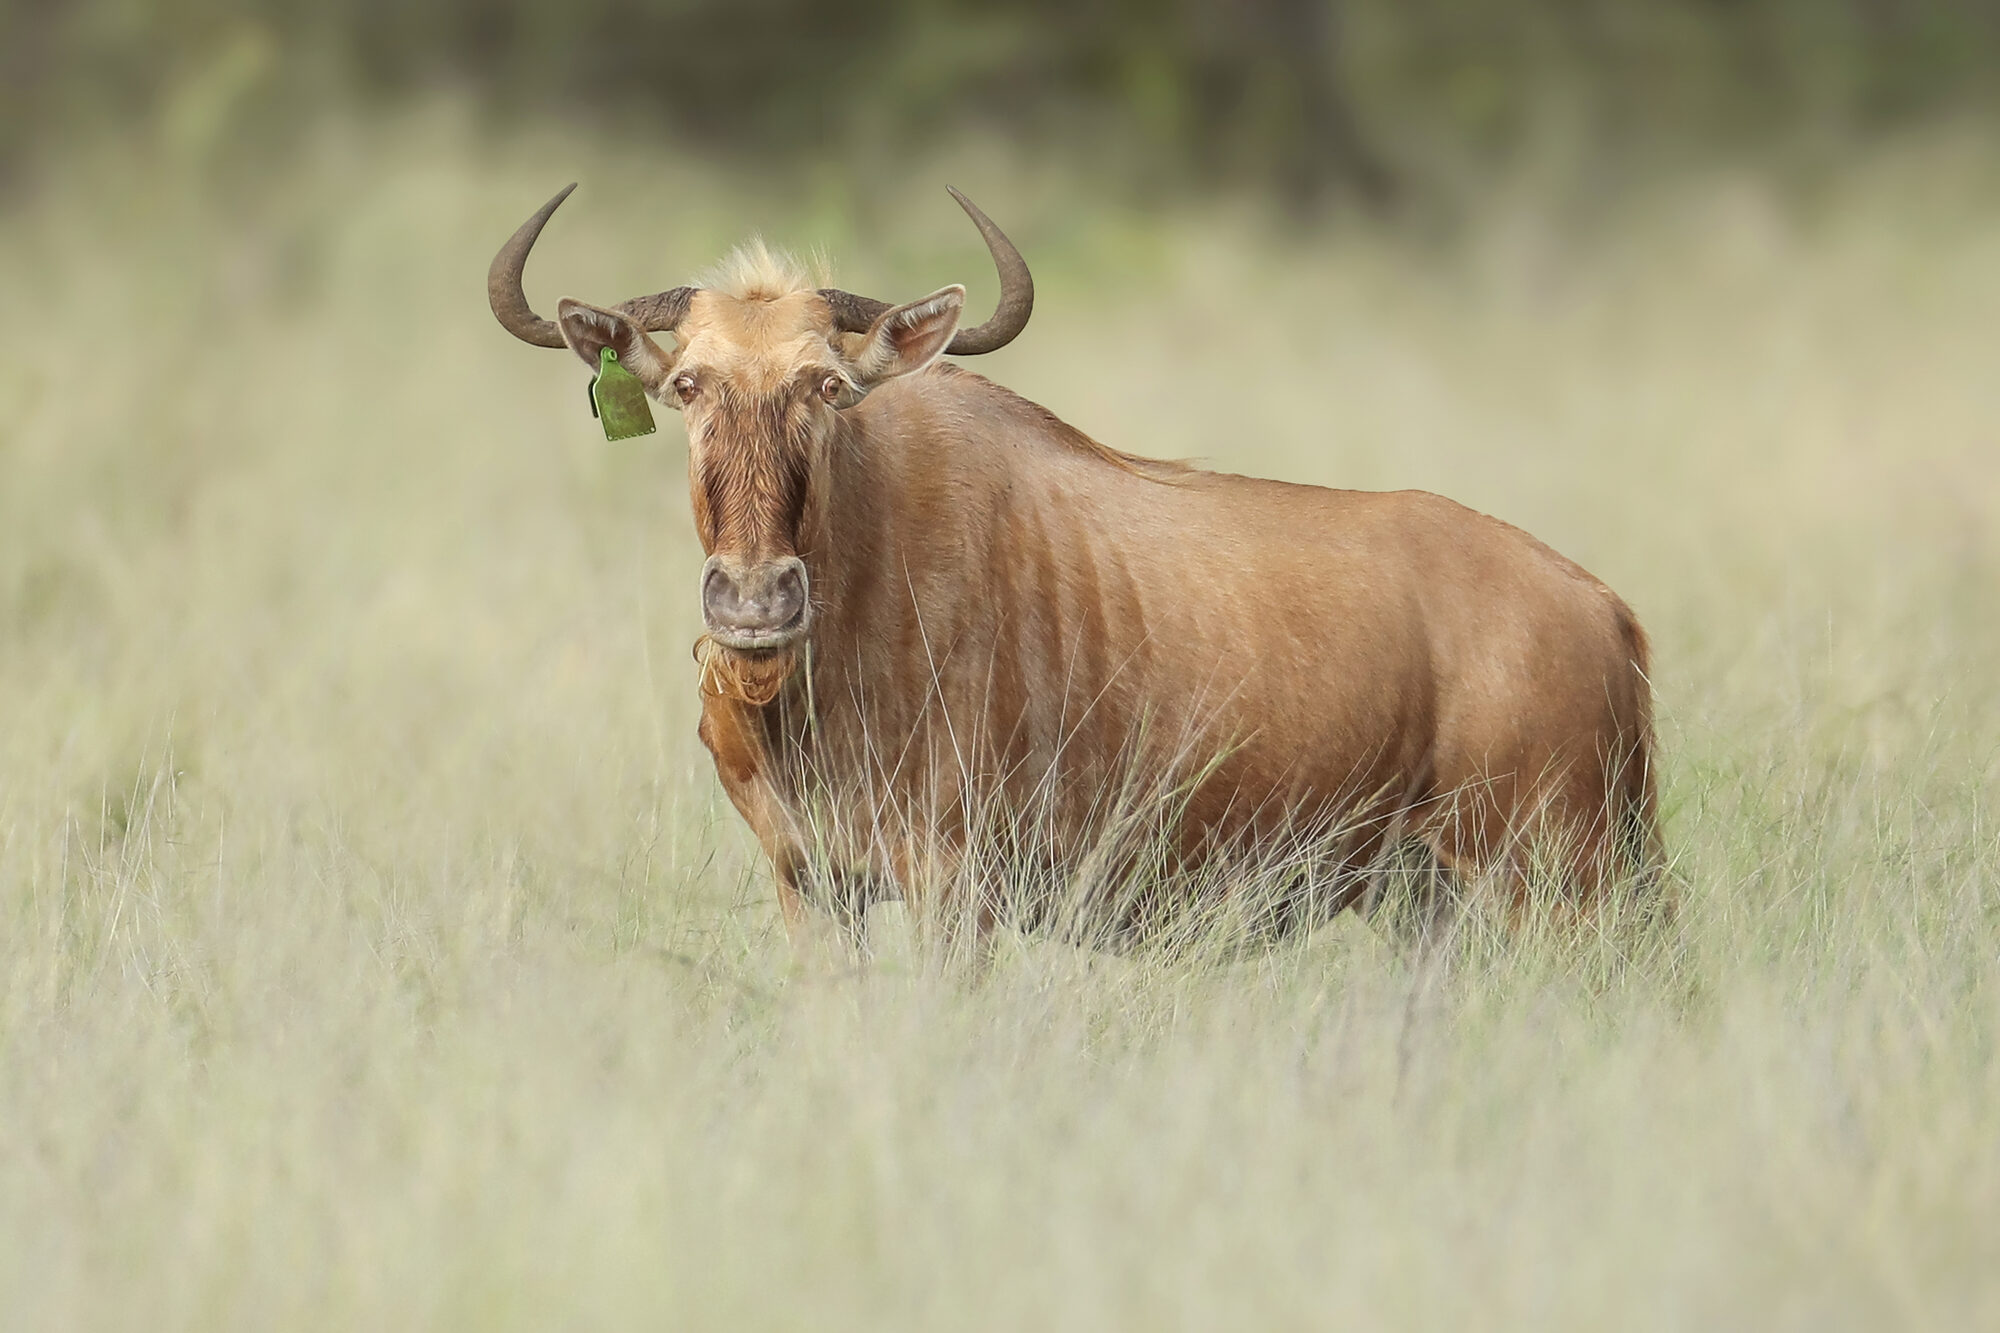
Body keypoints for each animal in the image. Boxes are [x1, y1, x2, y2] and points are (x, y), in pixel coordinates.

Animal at [489, 185, 1661, 950]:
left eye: (827, 387)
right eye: (687, 385)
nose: (752, 599)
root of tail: (1601, 607)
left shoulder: (956, 892)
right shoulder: (812, 887)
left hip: (1558, 890)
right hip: (1437, 905)